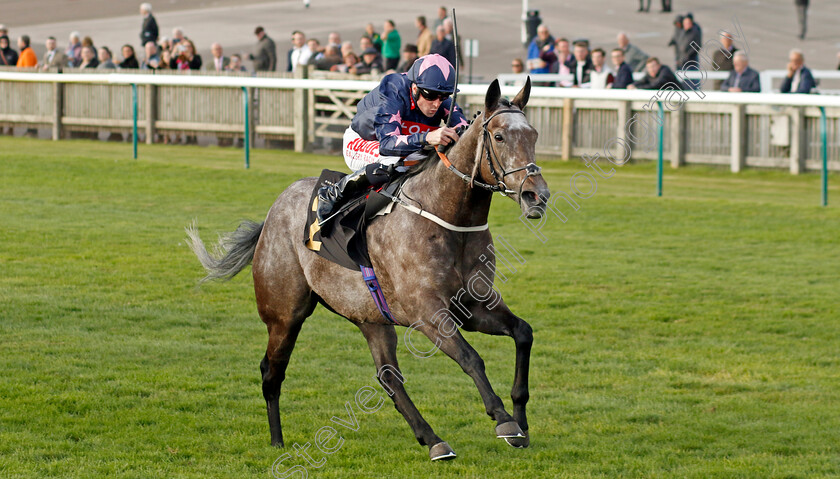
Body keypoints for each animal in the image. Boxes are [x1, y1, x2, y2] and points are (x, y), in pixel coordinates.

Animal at [186, 79, 548, 462]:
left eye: (534, 134)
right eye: (499, 136)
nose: (536, 195)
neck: (449, 217)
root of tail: (274, 209)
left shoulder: (474, 306)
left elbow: (523, 333)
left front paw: (521, 420)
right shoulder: (428, 313)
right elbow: (471, 358)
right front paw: (505, 421)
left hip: (371, 317)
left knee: (388, 377)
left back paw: (433, 439)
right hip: (285, 314)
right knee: (272, 371)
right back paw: (277, 441)